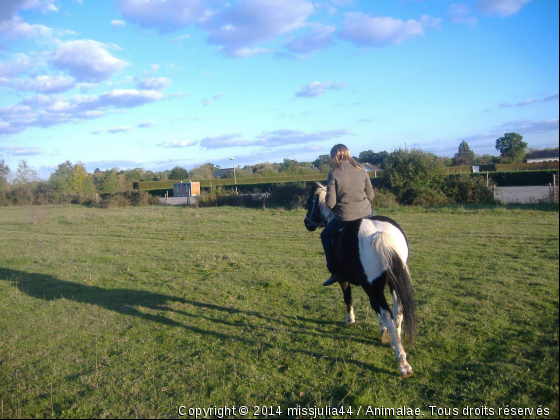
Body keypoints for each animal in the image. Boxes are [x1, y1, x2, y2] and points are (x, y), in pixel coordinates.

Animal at [302, 182, 416, 378]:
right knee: (397, 308)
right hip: (393, 282)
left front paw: (351, 319)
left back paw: (402, 363)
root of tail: (379, 234)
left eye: (312, 201)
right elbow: (375, 308)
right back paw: (396, 342)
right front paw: (385, 331)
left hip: (373, 286)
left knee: (386, 311)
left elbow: (349, 299)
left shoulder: (346, 280)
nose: (307, 222)